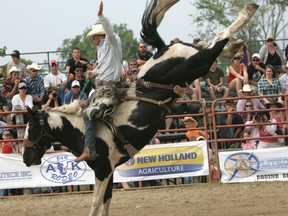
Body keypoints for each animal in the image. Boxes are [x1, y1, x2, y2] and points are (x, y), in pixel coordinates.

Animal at [21, 0, 258, 215]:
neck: (80, 130)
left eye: (32, 129)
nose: (25, 159)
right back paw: (235, 46)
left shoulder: (103, 169)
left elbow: (96, 203)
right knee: (208, 44)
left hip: (194, 64)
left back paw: (248, 12)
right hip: (194, 66)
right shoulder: (109, 171)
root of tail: (162, 48)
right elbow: (106, 202)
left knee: (218, 39)